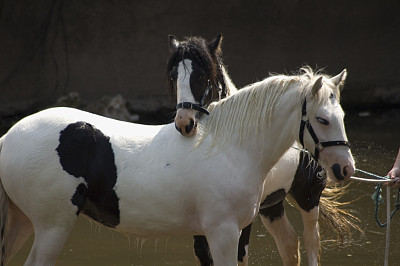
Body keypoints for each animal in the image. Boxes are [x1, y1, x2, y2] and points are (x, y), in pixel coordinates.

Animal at [0, 63, 354, 264]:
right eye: (322, 119)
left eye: (342, 115)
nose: (344, 168)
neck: (230, 148)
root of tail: (7, 138)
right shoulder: (223, 233)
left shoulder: (233, 232)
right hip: (52, 227)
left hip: (21, 221)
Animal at [168, 34, 356, 264]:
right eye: (173, 77)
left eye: (202, 75)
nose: (184, 122)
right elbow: (203, 252)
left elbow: (241, 252)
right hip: (273, 206)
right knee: (289, 245)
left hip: (308, 198)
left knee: (311, 242)